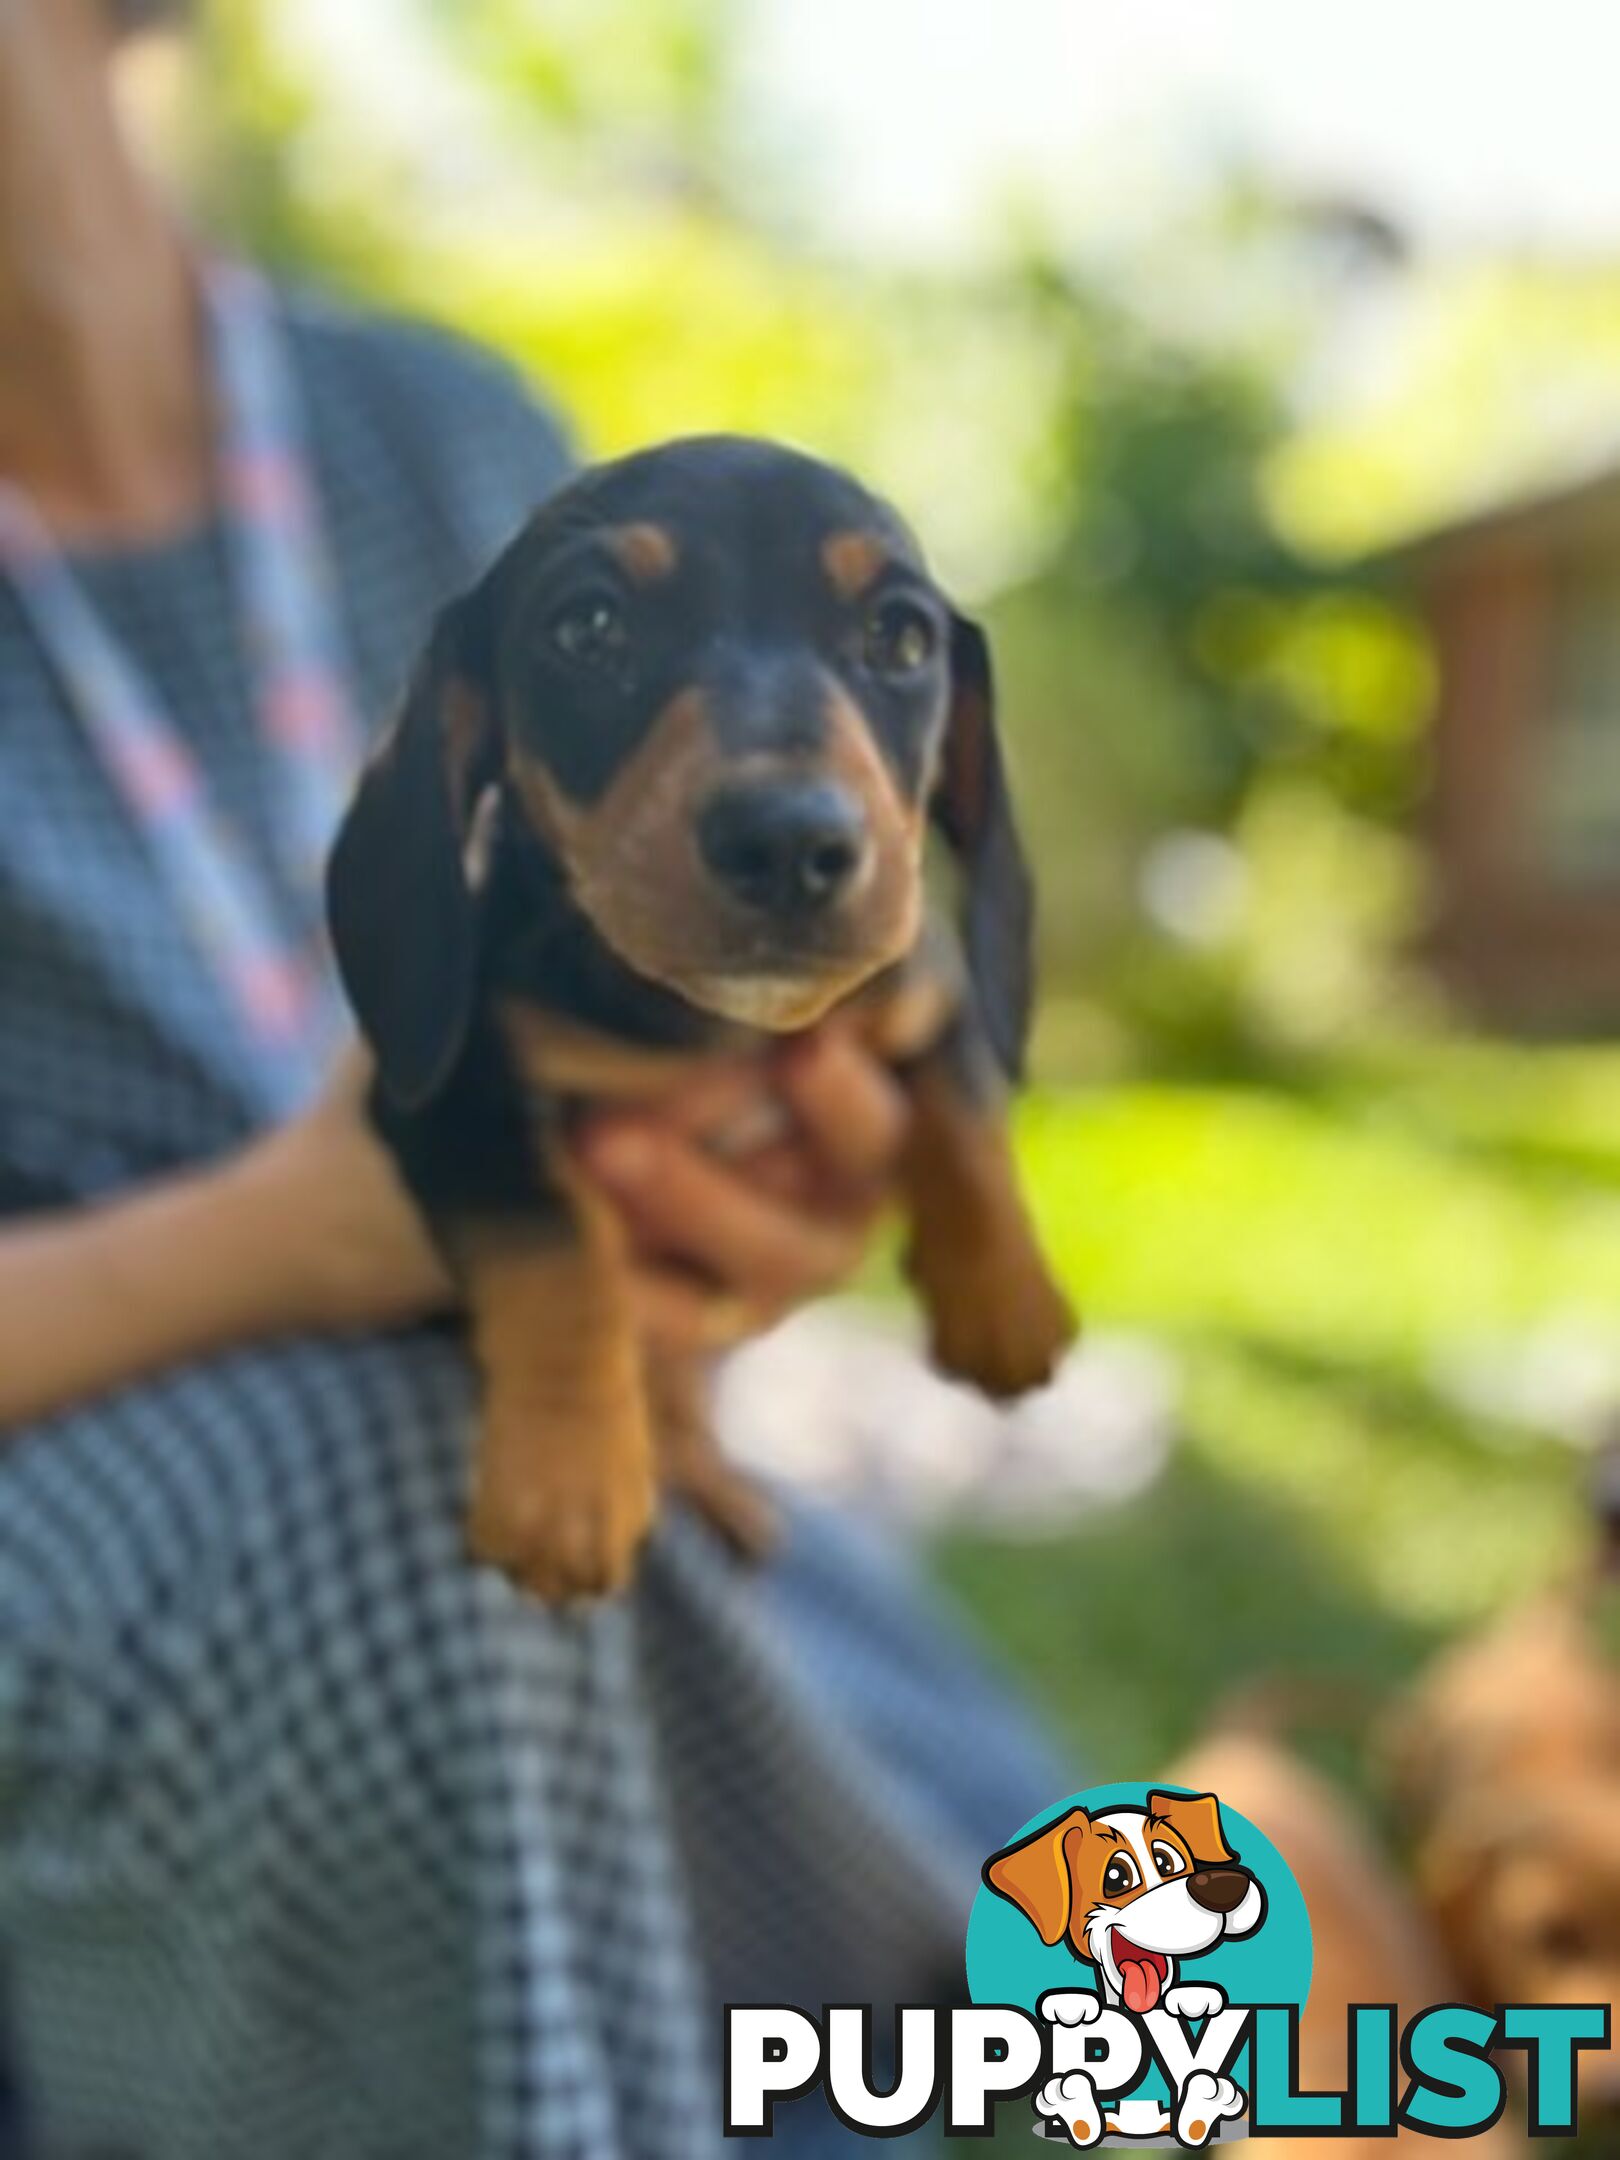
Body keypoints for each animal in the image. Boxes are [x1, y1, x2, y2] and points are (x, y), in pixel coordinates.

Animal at [330, 429, 1080, 1598]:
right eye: (588, 627)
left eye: (901, 637)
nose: (789, 842)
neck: (717, 1023)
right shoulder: (459, 1109)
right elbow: (560, 1257)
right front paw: (566, 1482)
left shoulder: (928, 990)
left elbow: (964, 1120)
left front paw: (1004, 1296)